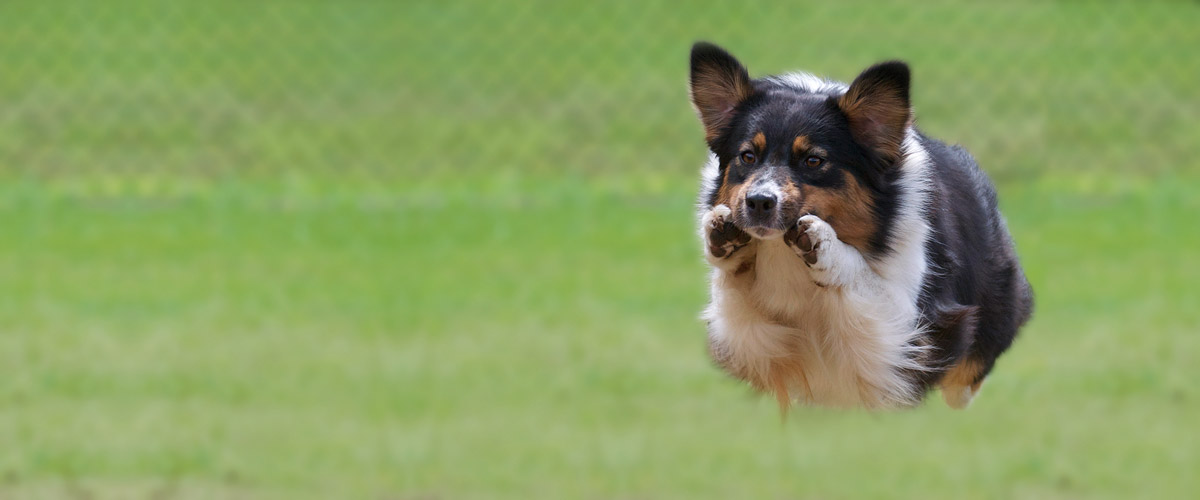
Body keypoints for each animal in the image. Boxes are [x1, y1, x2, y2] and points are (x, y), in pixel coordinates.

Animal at [691, 42, 1036, 410]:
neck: (786, 259)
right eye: (747, 156)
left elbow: (864, 284)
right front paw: (724, 238)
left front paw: (827, 247)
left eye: (813, 160)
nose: (758, 202)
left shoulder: (907, 330)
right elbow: (737, 304)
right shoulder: (749, 337)